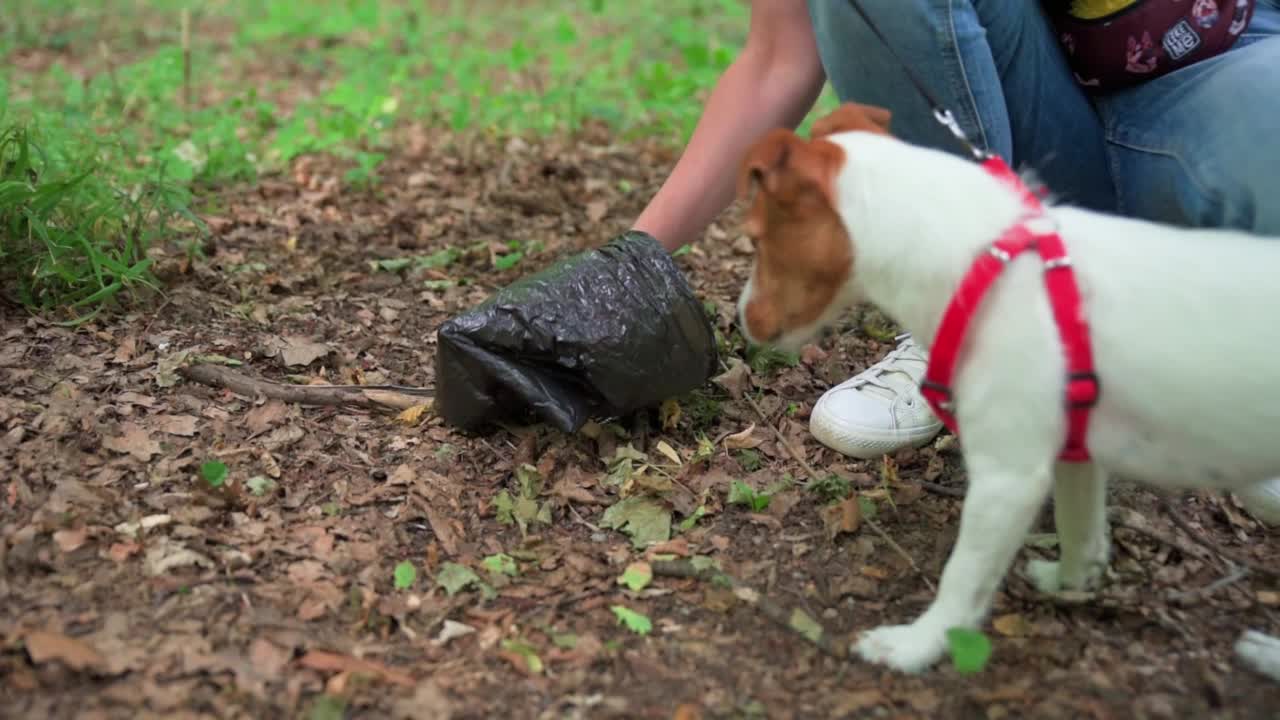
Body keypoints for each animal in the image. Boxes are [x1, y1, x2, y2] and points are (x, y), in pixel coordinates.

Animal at [737, 101, 1280, 671]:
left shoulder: (1008, 477)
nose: (740, 321)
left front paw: (916, 644)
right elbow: (1080, 531)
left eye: (756, 239)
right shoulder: (1074, 451)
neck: (979, 258)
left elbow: (962, 578)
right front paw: (1070, 581)